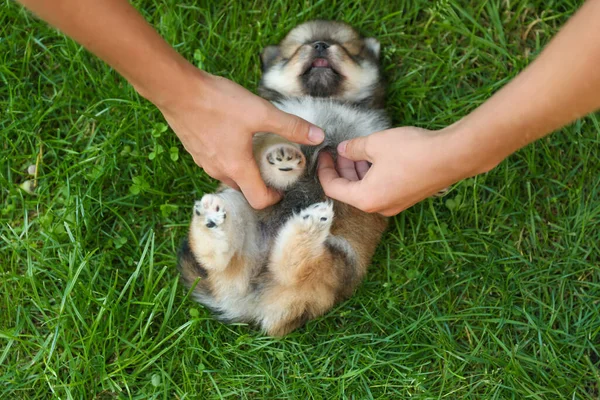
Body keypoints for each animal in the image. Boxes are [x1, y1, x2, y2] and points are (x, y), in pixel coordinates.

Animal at [177, 21, 390, 334]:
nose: (320, 45)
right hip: (238, 204)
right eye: (300, 48)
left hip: (340, 256)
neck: (322, 101)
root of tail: (251, 303)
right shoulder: (262, 136)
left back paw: (308, 224)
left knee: (294, 269)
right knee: (220, 260)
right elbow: (270, 150)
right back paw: (212, 221)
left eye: (346, 48)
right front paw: (284, 160)